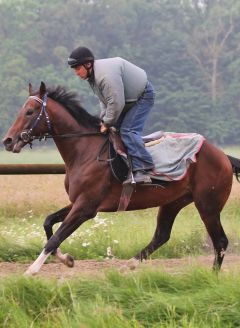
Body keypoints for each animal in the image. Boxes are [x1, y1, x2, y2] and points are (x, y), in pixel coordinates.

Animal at [1, 81, 240, 274]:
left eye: (29, 111)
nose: (8, 141)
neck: (85, 151)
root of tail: (223, 156)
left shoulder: (86, 208)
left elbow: (55, 238)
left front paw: (31, 271)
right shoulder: (79, 203)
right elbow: (48, 222)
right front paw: (67, 259)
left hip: (208, 204)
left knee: (220, 241)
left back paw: (212, 276)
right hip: (174, 202)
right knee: (162, 235)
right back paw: (129, 265)